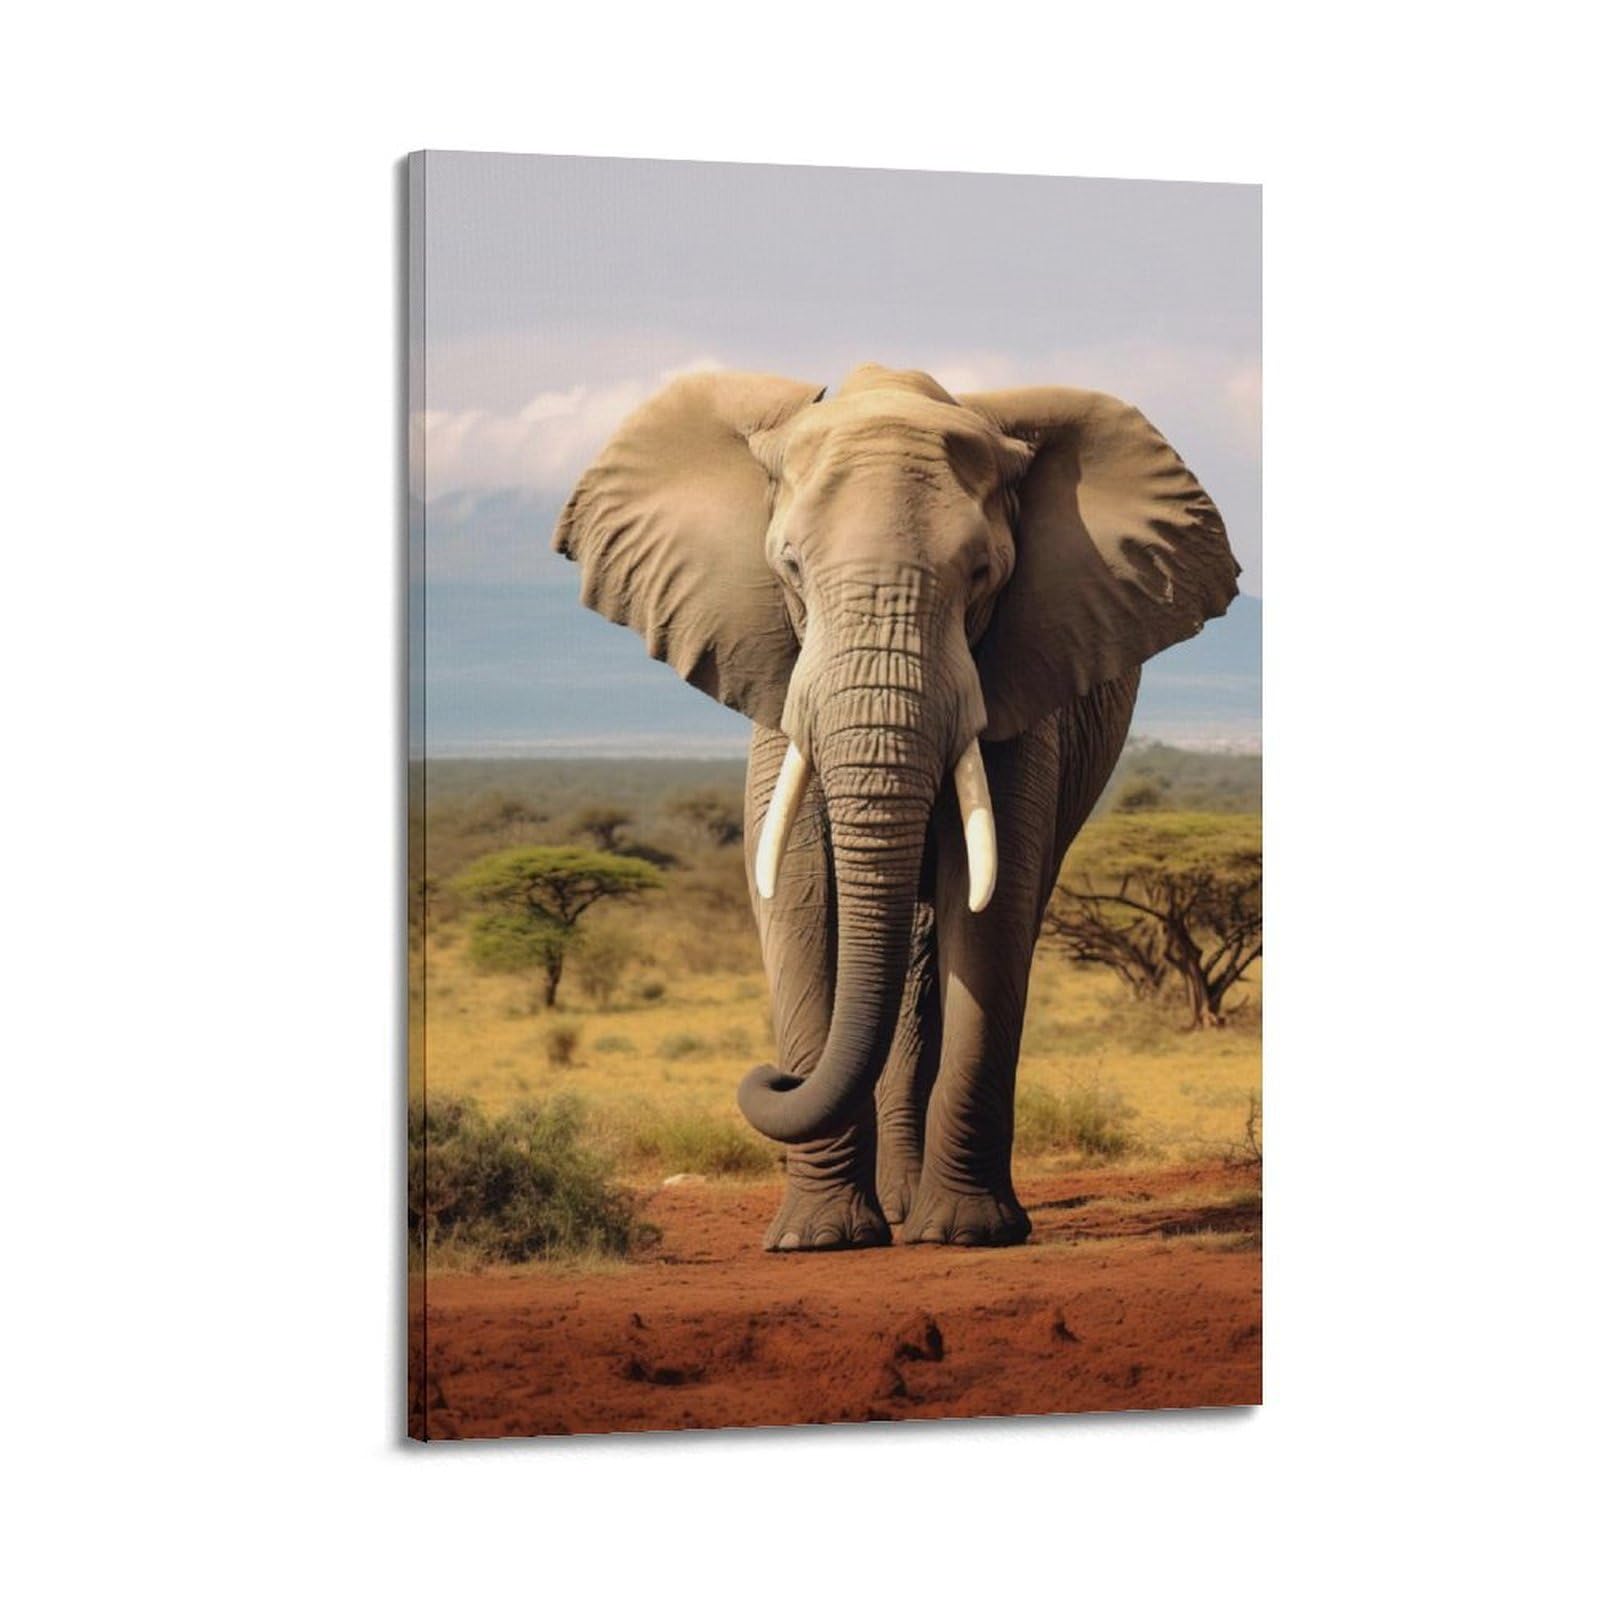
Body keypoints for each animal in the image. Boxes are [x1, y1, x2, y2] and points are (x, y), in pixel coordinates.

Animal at [555, 364, 1238, 1249]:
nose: (773, 1077)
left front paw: (967, 1233)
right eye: (789, 568)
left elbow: (992, 905)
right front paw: (818, 1240)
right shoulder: (778, 674)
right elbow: (797, 890)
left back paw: (921, 1212)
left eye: (983, 575)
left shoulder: (1021, 683)